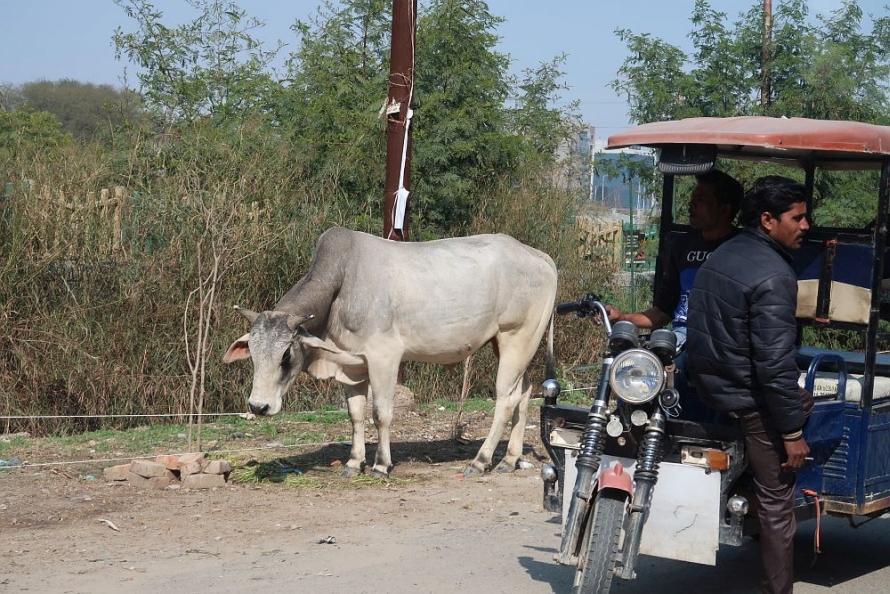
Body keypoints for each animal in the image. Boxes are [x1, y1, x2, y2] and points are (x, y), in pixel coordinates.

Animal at [224, 227, 556, 476]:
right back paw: (509, 460)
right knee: (524, 392)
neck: (342, 285)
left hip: (516, 338)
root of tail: (539, 256)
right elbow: (356, 415)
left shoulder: (384, 357)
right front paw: (353, 463)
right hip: (511, 345)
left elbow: (380, 414)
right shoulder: (352, 364)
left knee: (505, 399)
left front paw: (380, 465)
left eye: (286, 355)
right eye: (252, 352)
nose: (258, 406)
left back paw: (481, 461)